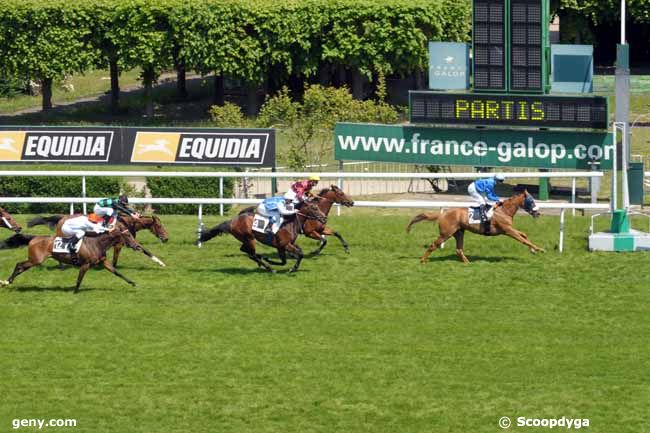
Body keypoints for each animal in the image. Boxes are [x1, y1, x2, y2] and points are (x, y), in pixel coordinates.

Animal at [0, 226, 143, 294]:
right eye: (128, 235)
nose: (138, 246)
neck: (96, 243)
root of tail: (33, 238)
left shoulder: (103, 261)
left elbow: (117, 272)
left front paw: (132, 283)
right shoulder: (85, 264)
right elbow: (79, 278)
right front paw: (74, 291)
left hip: (34, 260)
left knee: (21, 266)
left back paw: (7, 281)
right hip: (36, 260)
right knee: (19, 265)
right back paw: (6, 282)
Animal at [28, 213, 166, 266]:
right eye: (159, 226)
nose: (166, 238)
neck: (125, 223)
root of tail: (61, 218)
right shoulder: (120, 243)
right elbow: (144, 250)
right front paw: (161, 263)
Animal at [199, 201, 330, 272]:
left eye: (317, 207)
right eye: (314, 208)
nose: (324, 218)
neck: (289, 223)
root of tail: (232, 221)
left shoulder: (283, 246)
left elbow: (286, 259)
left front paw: (269, 259)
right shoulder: (285, 245)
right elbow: (299, 254)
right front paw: (292, 268)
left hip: (246, 239)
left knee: (245, 251)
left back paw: (262, 261)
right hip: (249, 238)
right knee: (251, 254)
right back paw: (269, 268)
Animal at [404, 190, 540, 264]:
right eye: (531, 201)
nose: (538, 213)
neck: (503, 210)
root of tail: (443, 214)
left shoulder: (508, 229)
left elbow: (524, 235)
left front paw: (533, 250)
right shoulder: (507, 230)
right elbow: (522, 239)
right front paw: (539, 249)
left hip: (459, 232)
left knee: (458, 249)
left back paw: (467, 262)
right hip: (446, 233)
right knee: (433, 245)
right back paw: (422, 260)